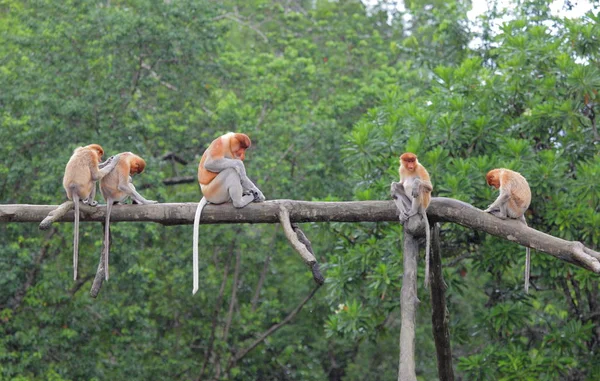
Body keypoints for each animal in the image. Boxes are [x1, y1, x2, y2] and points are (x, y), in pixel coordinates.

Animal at [62, 143, 120, 280]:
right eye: (99, 154)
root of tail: (73, 191)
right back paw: (90, 202)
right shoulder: (91, 156)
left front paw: (107, 161)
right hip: (86, 189)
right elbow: (95, 175)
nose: (100, 159)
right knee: (93, 181)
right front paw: (112, 162)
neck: (87, 148)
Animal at [193, 133, 266, 294]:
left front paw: (259, 193)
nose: (242, 156)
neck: (229, 143)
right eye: (241, 149)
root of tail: (206, 195)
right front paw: (241, 166)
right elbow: (212, 163)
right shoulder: (219, 144)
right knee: (231, 171)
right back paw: (241, 201)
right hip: (216, 190)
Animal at [392, 151, 434, 284]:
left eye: (412, 161)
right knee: (397, 191)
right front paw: (392, 186)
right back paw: (403, 214)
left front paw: (415, 184)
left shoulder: (420, 168)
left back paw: (413, 211)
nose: (411, 165)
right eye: (408, 161)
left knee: (420, 187)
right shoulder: (401, 169)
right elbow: (399, 184)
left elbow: (428, 186)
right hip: (408, 203)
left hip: (423, 202)